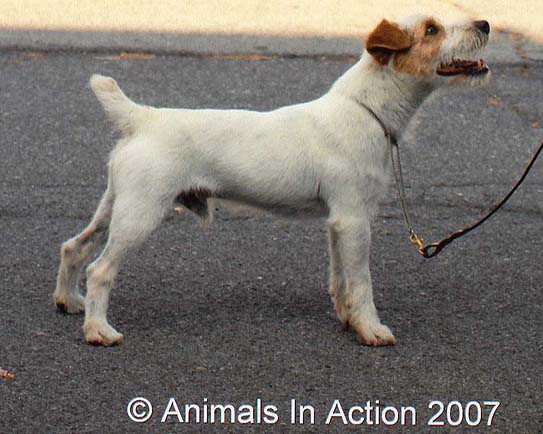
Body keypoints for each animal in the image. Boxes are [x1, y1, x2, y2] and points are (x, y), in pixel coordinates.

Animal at [53, 15, 490, 346]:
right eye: (431, 29)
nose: (485, 23)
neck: (366, 109)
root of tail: (143, 118)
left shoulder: (339, 222)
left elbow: (341, 279)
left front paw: (347, 318)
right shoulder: (353, 220)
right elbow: (361, 281)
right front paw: (371, 329)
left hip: (116, 206)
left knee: (74, 247)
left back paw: (68, 301)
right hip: (141, 214)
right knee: (100, 269)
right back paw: (98, 331)